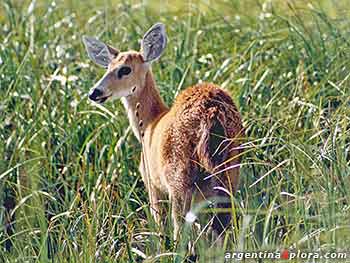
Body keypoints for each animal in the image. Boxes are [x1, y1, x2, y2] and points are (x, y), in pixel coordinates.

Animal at [82, 22, 243, 241]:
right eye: (107, 67)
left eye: (125, 69)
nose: (94, 92)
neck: (150, 124)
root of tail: (212, 112)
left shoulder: (151, 181)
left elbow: (158, 222)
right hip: (230, 171)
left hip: (178, 177)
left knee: (181, 230)